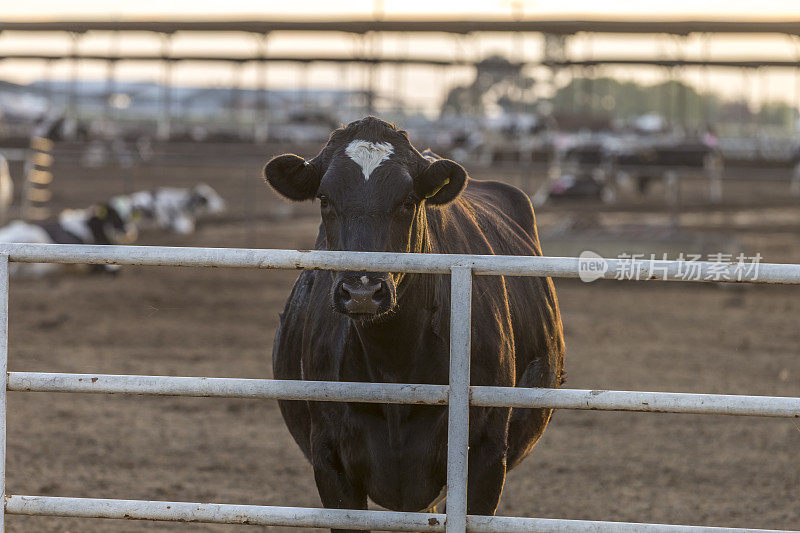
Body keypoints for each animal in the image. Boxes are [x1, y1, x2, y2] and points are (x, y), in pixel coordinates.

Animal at [266, 116, 564, 528]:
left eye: (408, 200)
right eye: (324, 199)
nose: (362, 290)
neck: (394, 362)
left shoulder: (487, 460)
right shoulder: (330, 461)